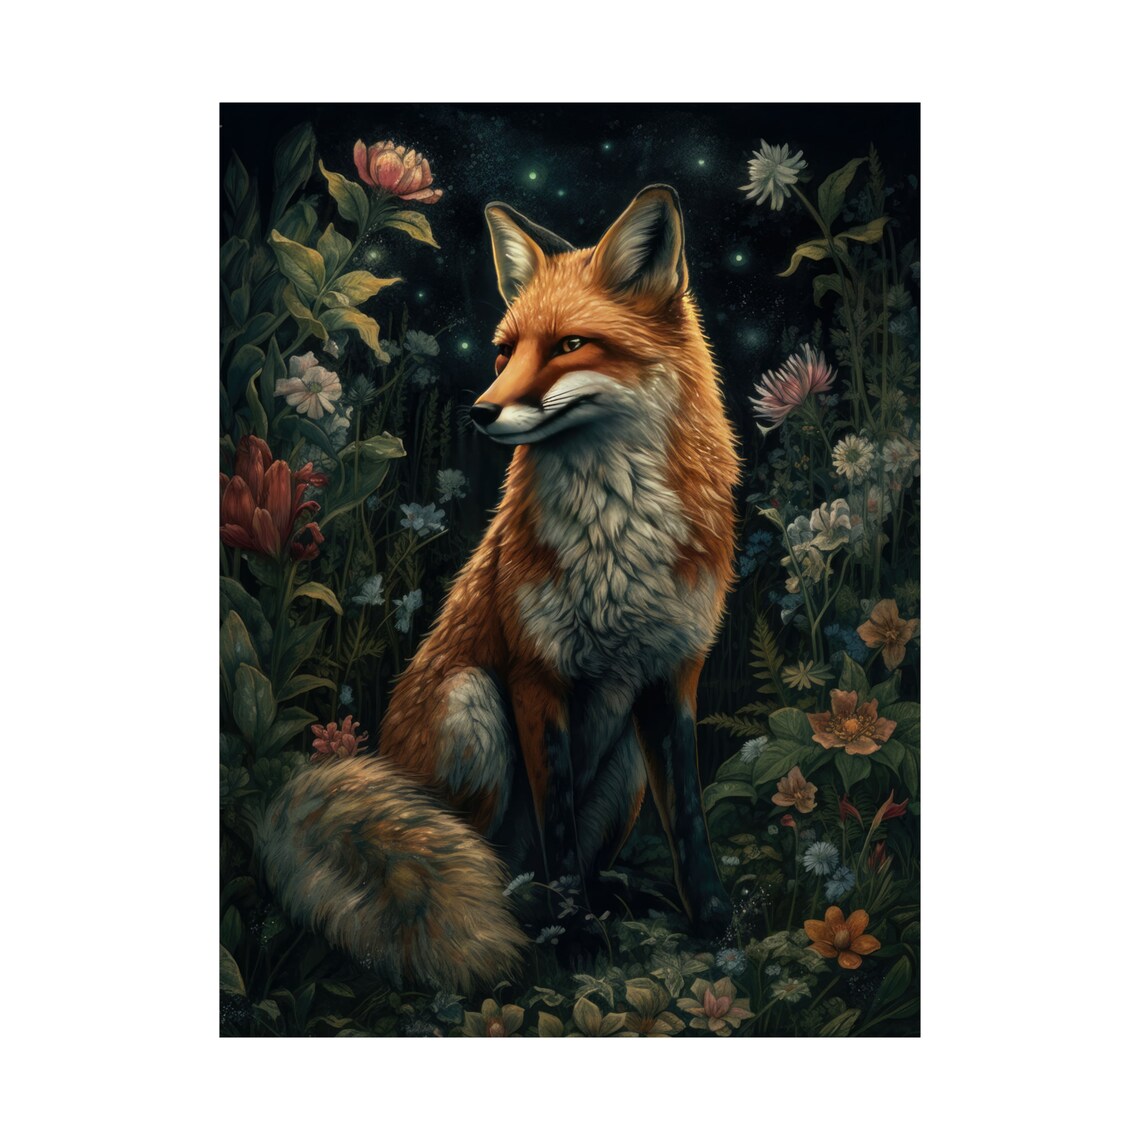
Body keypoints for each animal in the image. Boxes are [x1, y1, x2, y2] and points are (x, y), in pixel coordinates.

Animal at [259, 184, 742, 992]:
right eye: (503, 351)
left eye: (571, 345)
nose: (482, 412)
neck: (618, 538)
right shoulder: (532, 674)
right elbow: (558, 834)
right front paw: (575, 942)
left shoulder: (674, 675)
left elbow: (691, 826)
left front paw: (713, 924)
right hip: (471, 703)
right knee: (494, 868)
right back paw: (527, 921)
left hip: (626, 764)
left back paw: (613, 898)